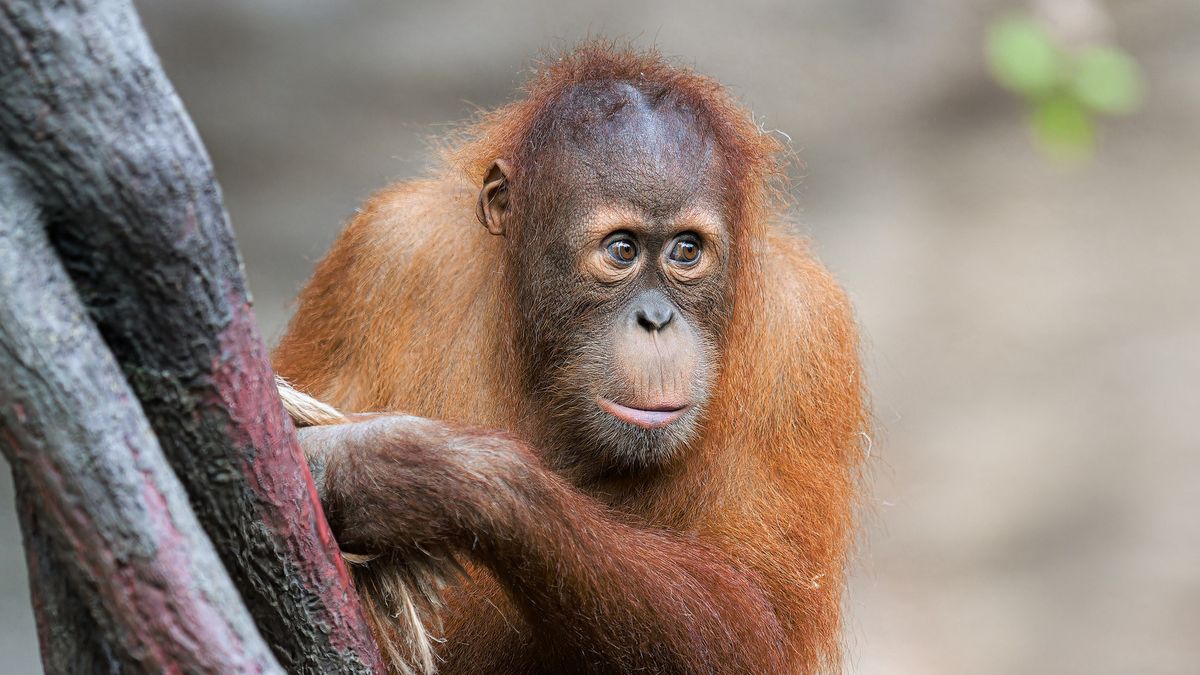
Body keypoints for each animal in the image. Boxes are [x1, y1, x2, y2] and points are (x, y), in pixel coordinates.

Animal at [273, 43, 867, 674]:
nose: (656, 319)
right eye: (622, 249)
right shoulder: (381, 250)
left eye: (686, 251)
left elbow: (758, 616)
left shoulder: (805, 334)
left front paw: (410, 468)